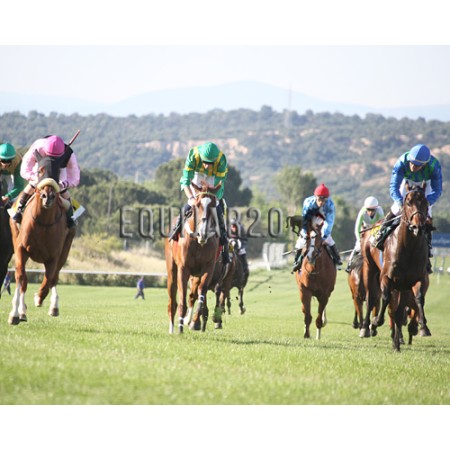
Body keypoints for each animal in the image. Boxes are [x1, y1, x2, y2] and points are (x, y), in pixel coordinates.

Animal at [8, 152, 76, 325]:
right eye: (40, 170)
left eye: (58, 171)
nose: (47, 196)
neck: (43, 223)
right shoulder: (21, 249)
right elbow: (20, 277)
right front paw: (15, 313)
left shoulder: (54, 255)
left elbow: (48, 279)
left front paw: (40, 298)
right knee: (24, 279)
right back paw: (22, 311)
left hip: (65, 249)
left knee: (54, 277)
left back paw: (52, 305)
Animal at [165, 181, 222, 333]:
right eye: (197, 205)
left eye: (213, 205)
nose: (203, 233)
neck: (198, 242)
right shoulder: (183, 268)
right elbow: (182, 299)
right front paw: (180, 327)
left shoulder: (208, 268)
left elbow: (201, 292)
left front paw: (195, 322)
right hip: (171, 268)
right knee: (172, 300)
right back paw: (172, 328)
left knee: (194, 294)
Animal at [361, 182, 431, 351]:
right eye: (408, 202)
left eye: (425, 203)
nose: (417, 227)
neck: (408, 248)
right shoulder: (386, 277)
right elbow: (385, 298)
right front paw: (375, 322)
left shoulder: (417, 279)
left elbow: (419, 298)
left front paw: (422, 326)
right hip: (369, 268)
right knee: (370, 297)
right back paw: (366, 327)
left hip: (402, 286)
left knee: (398, 310)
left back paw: (397, 342)